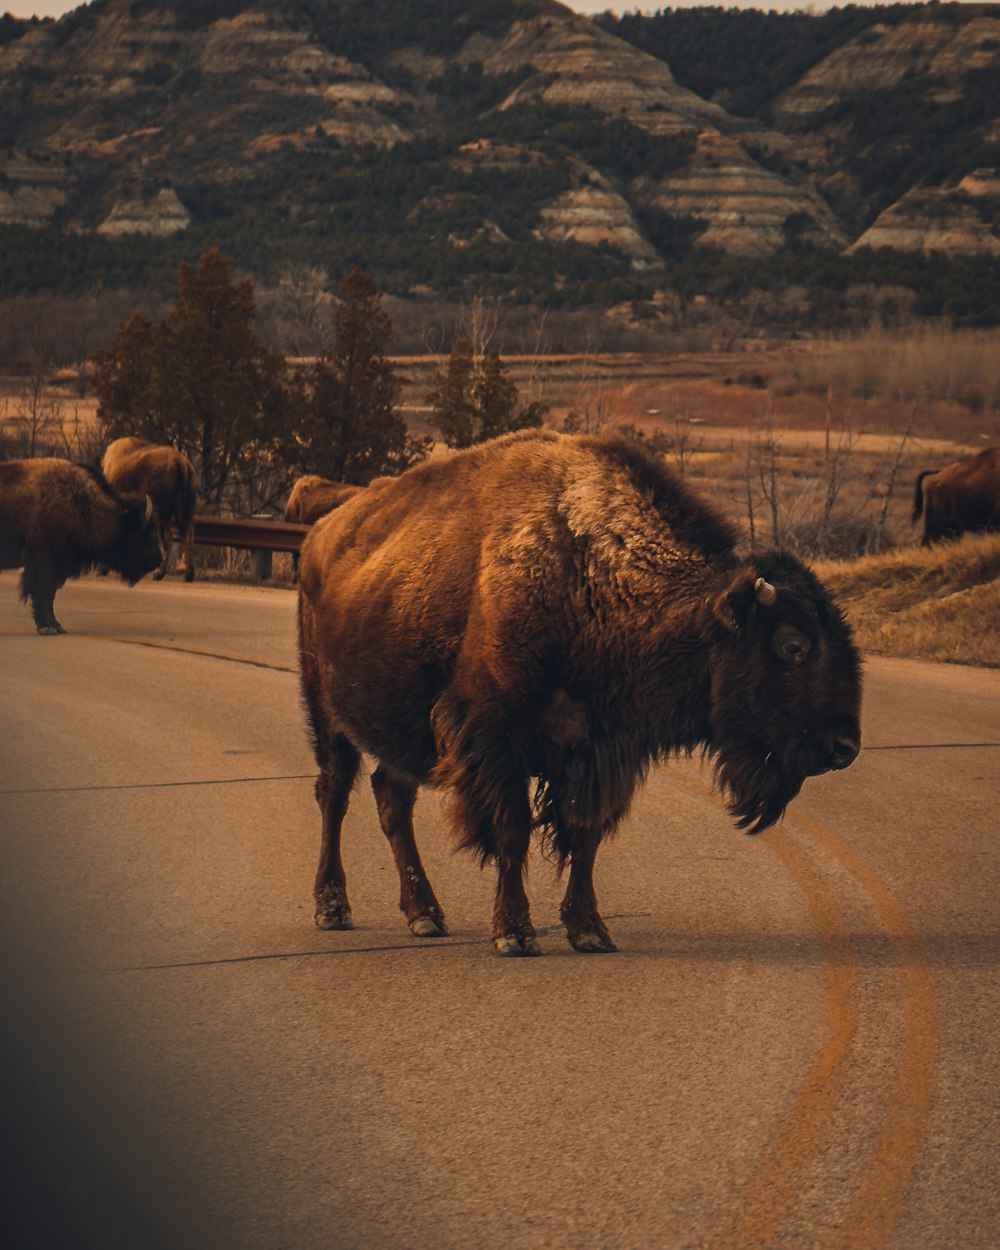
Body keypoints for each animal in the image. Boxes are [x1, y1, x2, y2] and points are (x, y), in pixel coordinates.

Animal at [0, 457, 162, 635]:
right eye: (149, 531)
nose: (158, 559)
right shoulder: (44, 559)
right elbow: (42, 590)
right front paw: (47, 627)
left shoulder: (59, 564)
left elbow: (50, 595)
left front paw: (56, 625)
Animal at [100, 437, 198, 577]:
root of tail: (180, 462)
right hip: (185, 513)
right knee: (187, 537)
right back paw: (188, 574)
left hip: (163, 514)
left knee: (168, 538)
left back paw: (158, 573)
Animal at [295, 427, 860, 955]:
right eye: (793, 645)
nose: (844, 747)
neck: (587, 574)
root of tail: (326, 524)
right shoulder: (495, 737)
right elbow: (512, 830)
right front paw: (515, 933)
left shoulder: (600, 751)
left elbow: (584, 836)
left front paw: (590, 930)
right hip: (326, 711)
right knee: (334, 792)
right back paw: (332, 906)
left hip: (398, 726)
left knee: (391, 797)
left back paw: (425, 914)